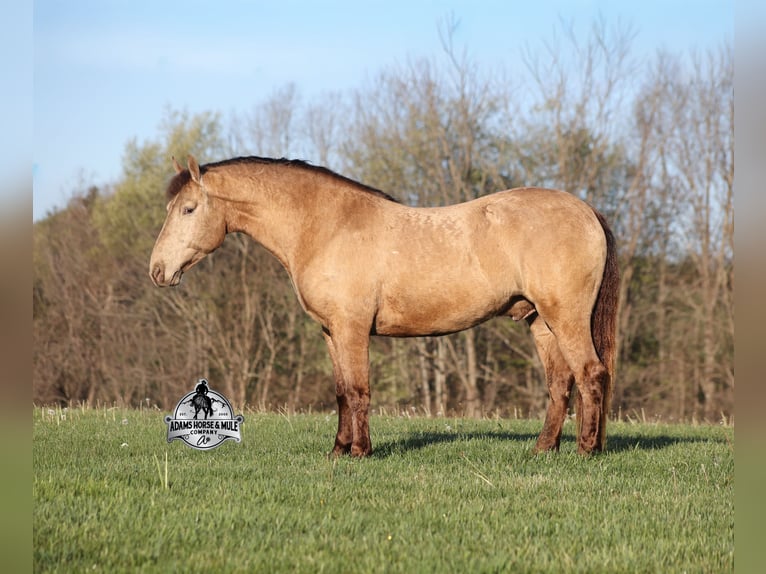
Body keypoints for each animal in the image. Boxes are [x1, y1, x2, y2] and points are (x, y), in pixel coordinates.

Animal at [150, 155, 619, 457]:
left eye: (188, 209)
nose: (157, 270)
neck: (326, 226)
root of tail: (587, 210)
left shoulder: (352, 328)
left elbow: (359, 391)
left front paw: (360, 451)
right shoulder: (332, 332)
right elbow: (342, 391)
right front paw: (338, 450)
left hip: (566, 317)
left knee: (591, 374)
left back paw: (587, 450)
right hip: (541, 322)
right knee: (561, 383)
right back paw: (543, 449)